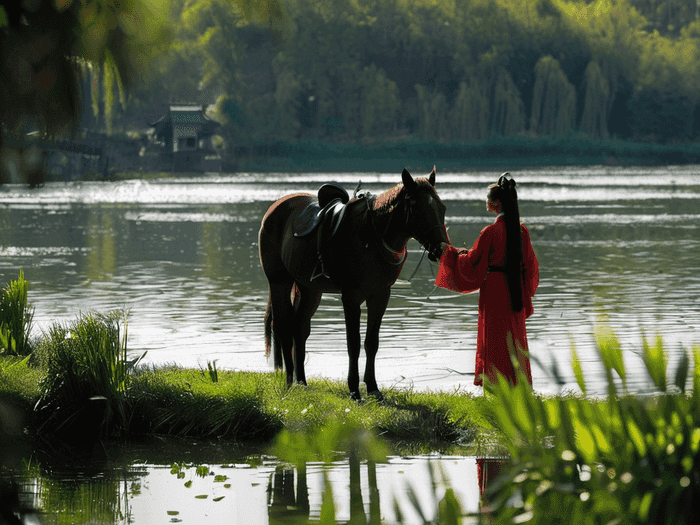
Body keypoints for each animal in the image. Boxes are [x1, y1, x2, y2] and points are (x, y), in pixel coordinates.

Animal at [258, 166, 448, 400]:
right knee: (283, 326)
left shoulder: (380, 295)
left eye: (442, 207)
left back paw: (301, 381)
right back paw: (289, 381)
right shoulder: (351, 296)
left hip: (310, 289)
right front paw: (354, 390)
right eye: (417, 208)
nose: (441, 249)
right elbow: (353, 343)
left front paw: (373, 387)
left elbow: (371, 342)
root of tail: (277, 206)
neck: (371, 236)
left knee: (299, 328)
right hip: (279, 282)